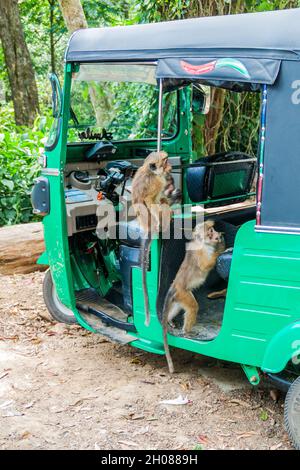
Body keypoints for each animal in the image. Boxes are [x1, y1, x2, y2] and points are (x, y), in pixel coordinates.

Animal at [162, 221, 225, 374]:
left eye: (212, 229)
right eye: (210, 232)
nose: (216, 234)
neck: (204, 244)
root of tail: (175, 285)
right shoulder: (201, 252)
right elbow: (205, 265)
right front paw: (221, 250)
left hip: (179, 297)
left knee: (178, 308)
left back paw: (169, 321)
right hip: (183, 292)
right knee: (192, 307)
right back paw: (186, 332)